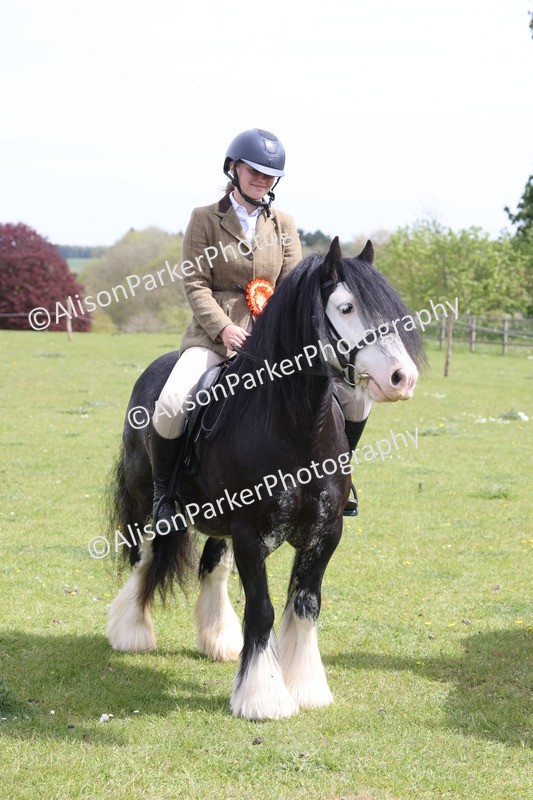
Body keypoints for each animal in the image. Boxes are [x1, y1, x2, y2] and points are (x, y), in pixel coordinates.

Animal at [105, 236, 426, 720]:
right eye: (346, 307)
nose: (401, 378)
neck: (296, 426)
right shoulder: (249, 533)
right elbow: (262, 610)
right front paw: (263, 698)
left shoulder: (326, 532)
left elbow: (306, 605)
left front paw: (307, 687)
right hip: (148, 502)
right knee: (144, 556)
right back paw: (131, 632)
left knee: (212, 566)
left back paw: (220, 640)